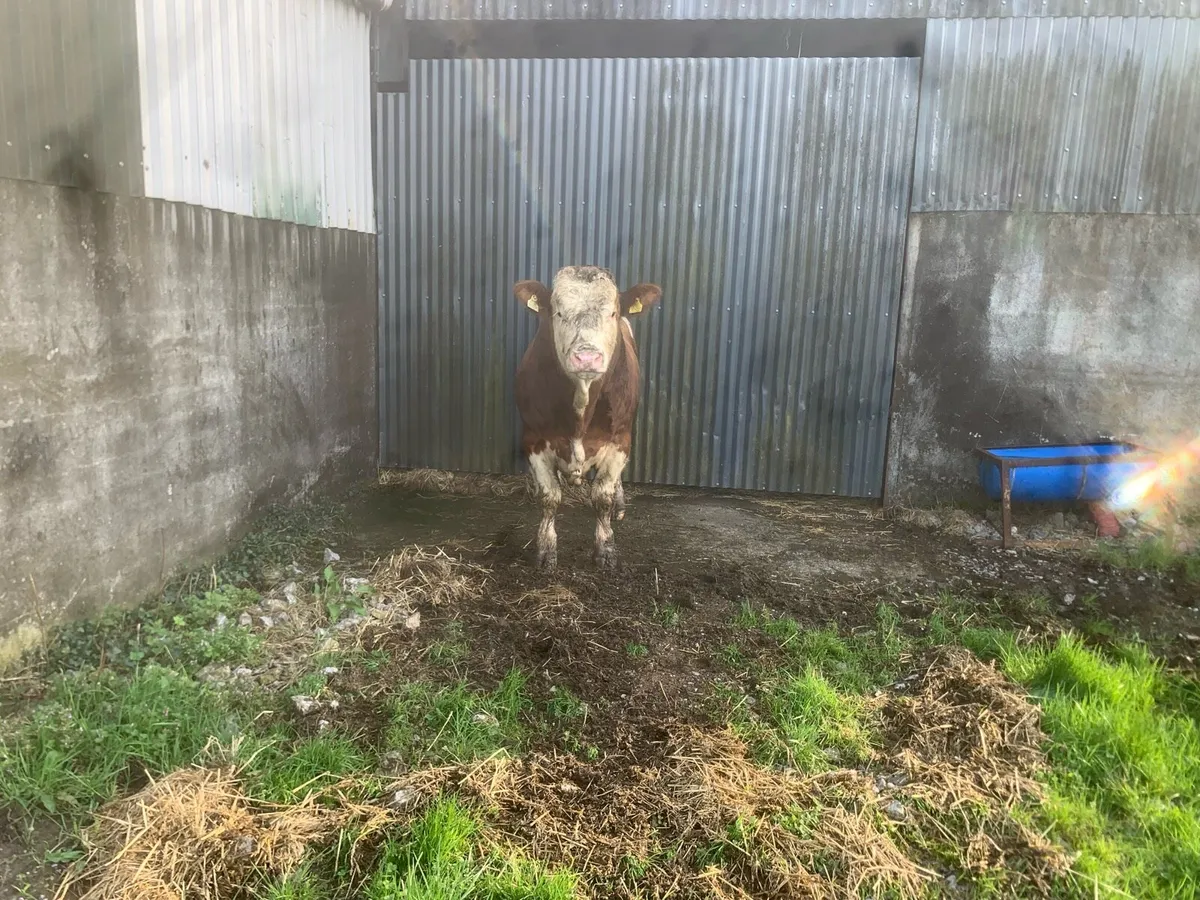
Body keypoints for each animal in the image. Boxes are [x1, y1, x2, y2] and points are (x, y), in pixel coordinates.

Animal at [513, 266, 662, 571]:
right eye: (558, 312)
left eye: (613, 313)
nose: (587, 357)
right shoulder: (533, 438)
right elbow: (550, 496)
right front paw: (546, 550)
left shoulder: (620, 440)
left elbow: (602, 496)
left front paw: (605, 549)